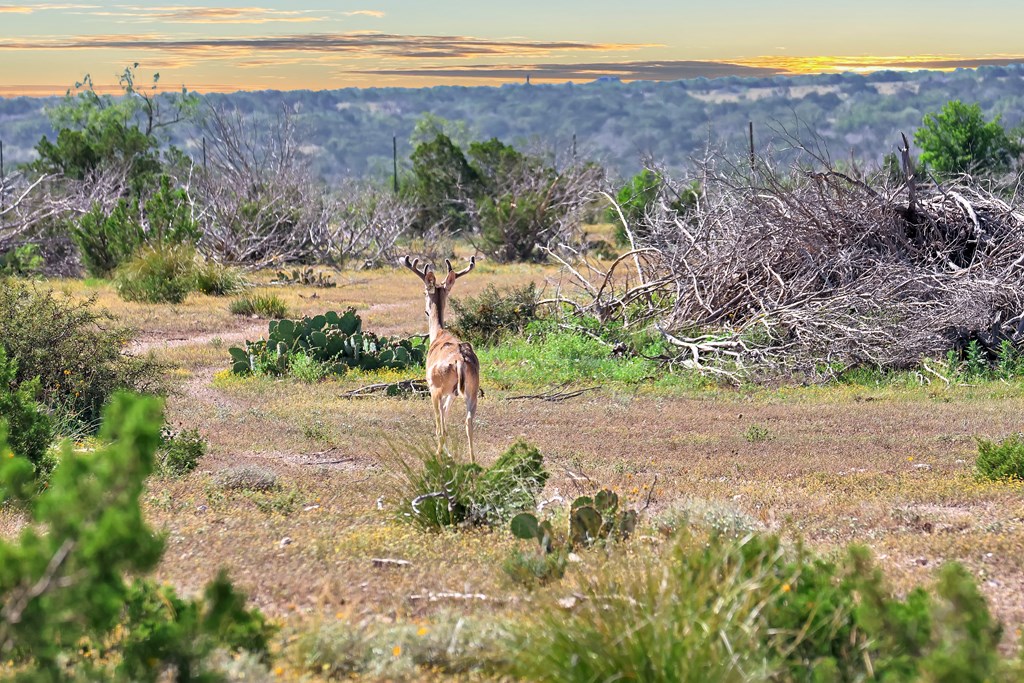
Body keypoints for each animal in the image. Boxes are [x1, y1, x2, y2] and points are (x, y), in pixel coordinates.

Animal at [397, 255, 481, 464]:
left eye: (424, 291)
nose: (426, 310)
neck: (439, 334)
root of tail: (460, 359)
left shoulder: (435, 389)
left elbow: (440, 423)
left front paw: (444, 454)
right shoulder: (452, 393)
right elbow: (447, 417)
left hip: (435, 389)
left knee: (439, 427)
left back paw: (437, 456)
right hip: (472, 391)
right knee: (468, 422)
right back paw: (472, 461)